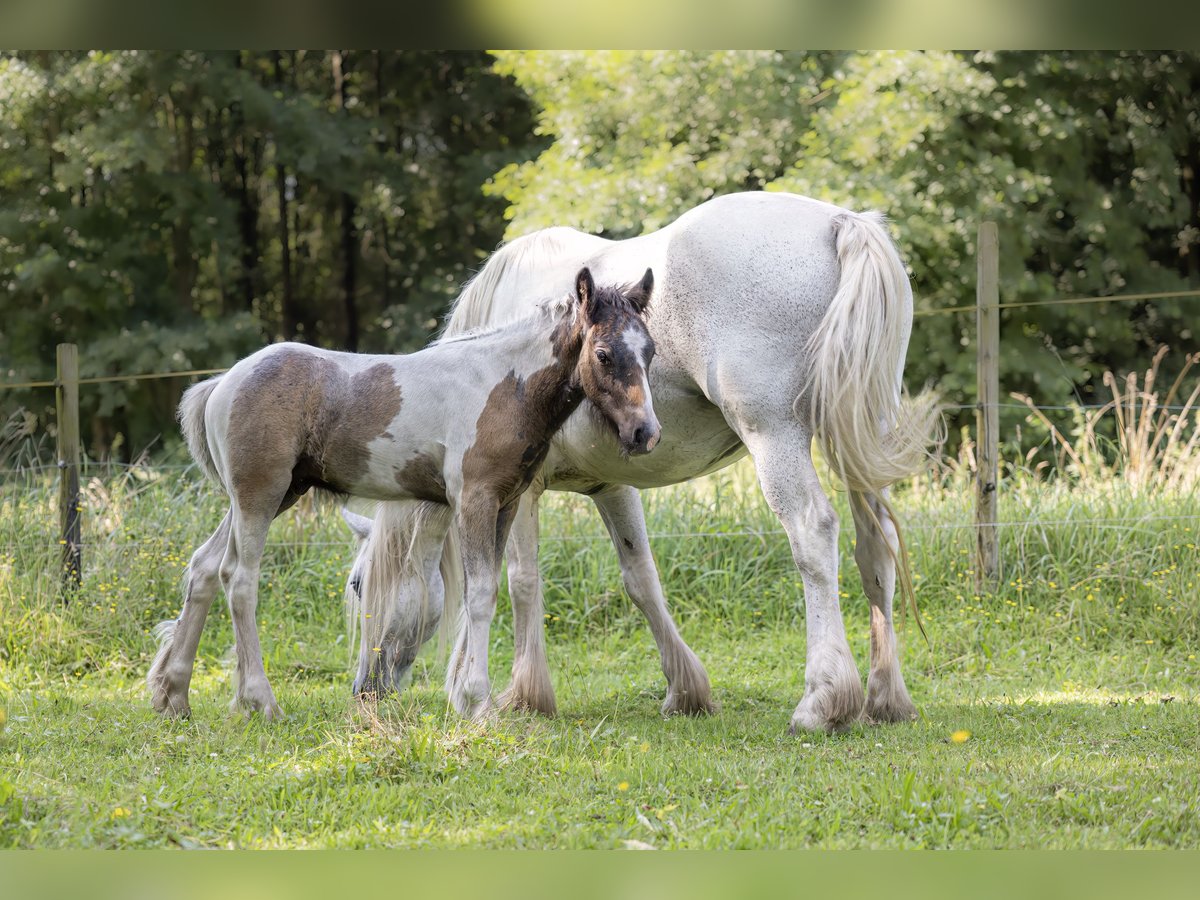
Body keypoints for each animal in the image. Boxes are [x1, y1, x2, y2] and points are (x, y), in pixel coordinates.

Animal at [147, 266, 667, 720]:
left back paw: (174, 697)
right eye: (604, 353)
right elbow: (480, 595)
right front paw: (479, 705)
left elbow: (484, 591)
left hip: (268, 497)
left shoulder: (506, 502)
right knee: (239, 579)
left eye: (651, 352)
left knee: (204, 568)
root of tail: (223, 382)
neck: (505, 386)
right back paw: (261, 701)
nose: (646, 433)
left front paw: (469, 700)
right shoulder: (474, 500)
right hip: (260, 495)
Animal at [348, 190, 936, 734]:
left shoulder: (517, 490)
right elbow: (640, 579)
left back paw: (821, 702)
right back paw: (886, 699)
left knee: (814, 534)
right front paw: (685, 689)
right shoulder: (610, 484)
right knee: (876, 546)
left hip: (777, 440)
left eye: (356, 586)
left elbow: (515, 579)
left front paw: (519, 694)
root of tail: (840, 221)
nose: (364, 691)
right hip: (861, 441)